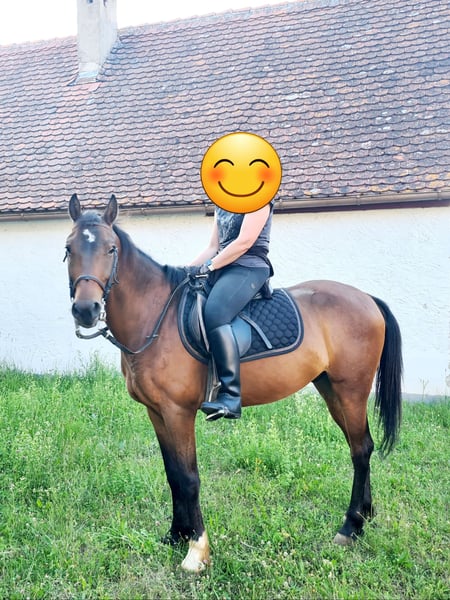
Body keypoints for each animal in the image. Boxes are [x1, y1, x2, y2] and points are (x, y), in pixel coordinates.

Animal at [65, 193, 402, 573]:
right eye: (68, 248)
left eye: (110, 249)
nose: (86, 310)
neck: (156, 317)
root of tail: (367, 298)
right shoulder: (156, 412)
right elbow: (172, 474)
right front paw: (175, 535)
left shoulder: (178, 412)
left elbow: (189, 477)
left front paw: (196, 550)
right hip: (331, 388)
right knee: (362, 446)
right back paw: (364, 516)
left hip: (351, 389)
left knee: (360, 450)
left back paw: (350, 527)